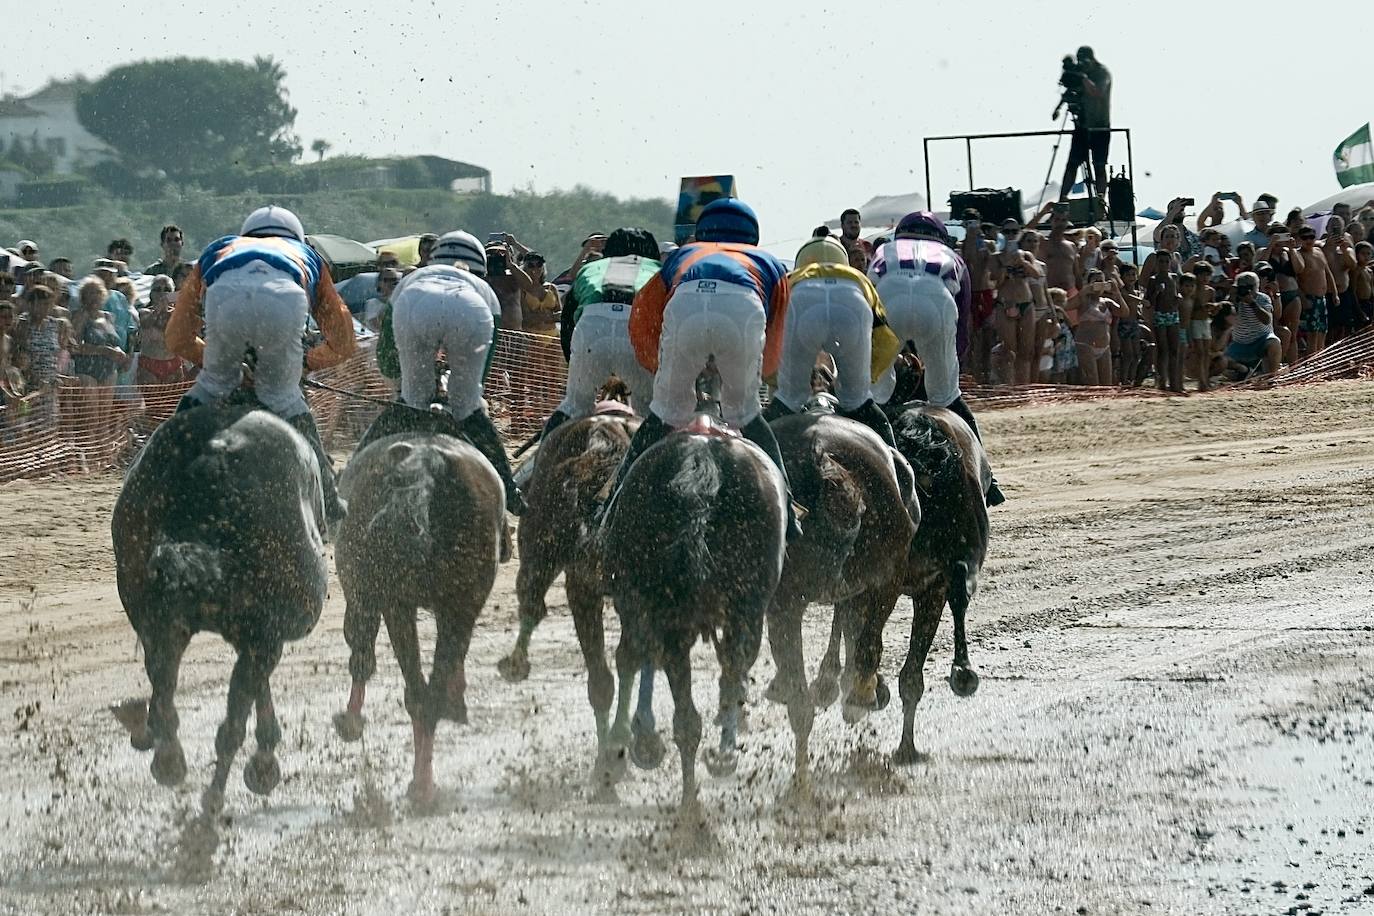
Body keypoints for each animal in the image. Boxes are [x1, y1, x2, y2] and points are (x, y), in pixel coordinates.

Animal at [329, 411, 508, 807]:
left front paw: (351, 719)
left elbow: (361, 652)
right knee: (430, 690)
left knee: (412, 687)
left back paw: (419, 781)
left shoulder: (368, 597)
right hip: (456, 603)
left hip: (396, 603)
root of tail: (426, 465)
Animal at [601, 362, 785, 807]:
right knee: (731, 664)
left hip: (652, 596)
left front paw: (635, 740)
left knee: (658, 675)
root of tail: (703, 468)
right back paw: (722, 754)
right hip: (743, 605)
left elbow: (635, 659)